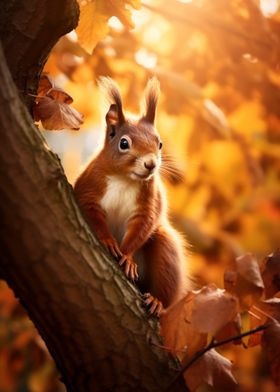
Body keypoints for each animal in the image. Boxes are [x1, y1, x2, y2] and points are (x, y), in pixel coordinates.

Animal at [73, 77, 191, 316]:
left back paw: (157, 301)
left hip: (165, 251)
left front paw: (126, 256)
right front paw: (108, 241)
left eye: (160, 143)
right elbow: (93, 215)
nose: (151, 164)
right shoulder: (89, 189)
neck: (124, 179)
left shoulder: (149, 203)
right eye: (124, 143)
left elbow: (143, 226)